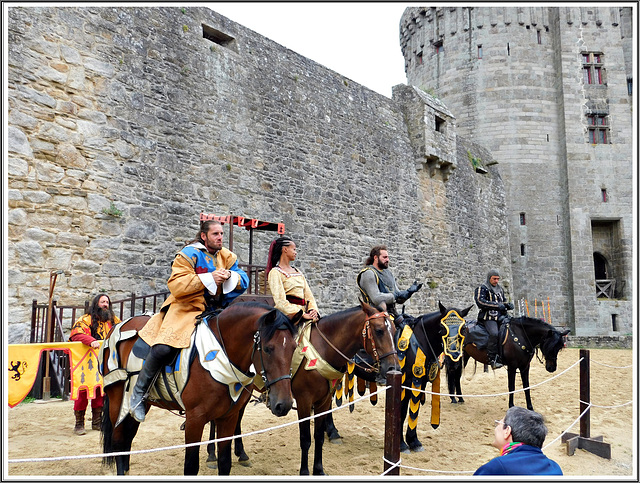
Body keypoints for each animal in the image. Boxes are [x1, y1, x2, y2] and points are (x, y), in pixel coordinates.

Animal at [100, 302, 300, 476]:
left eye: (294, 348)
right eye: (267, 349)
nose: (284, 404)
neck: (221, 354)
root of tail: (118, 326)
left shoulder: (228, 417)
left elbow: (225, 463)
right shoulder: (195, 419)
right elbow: (190, 466)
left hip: (138, 406)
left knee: (127, 440)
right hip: (118, 401)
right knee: (118, 442)